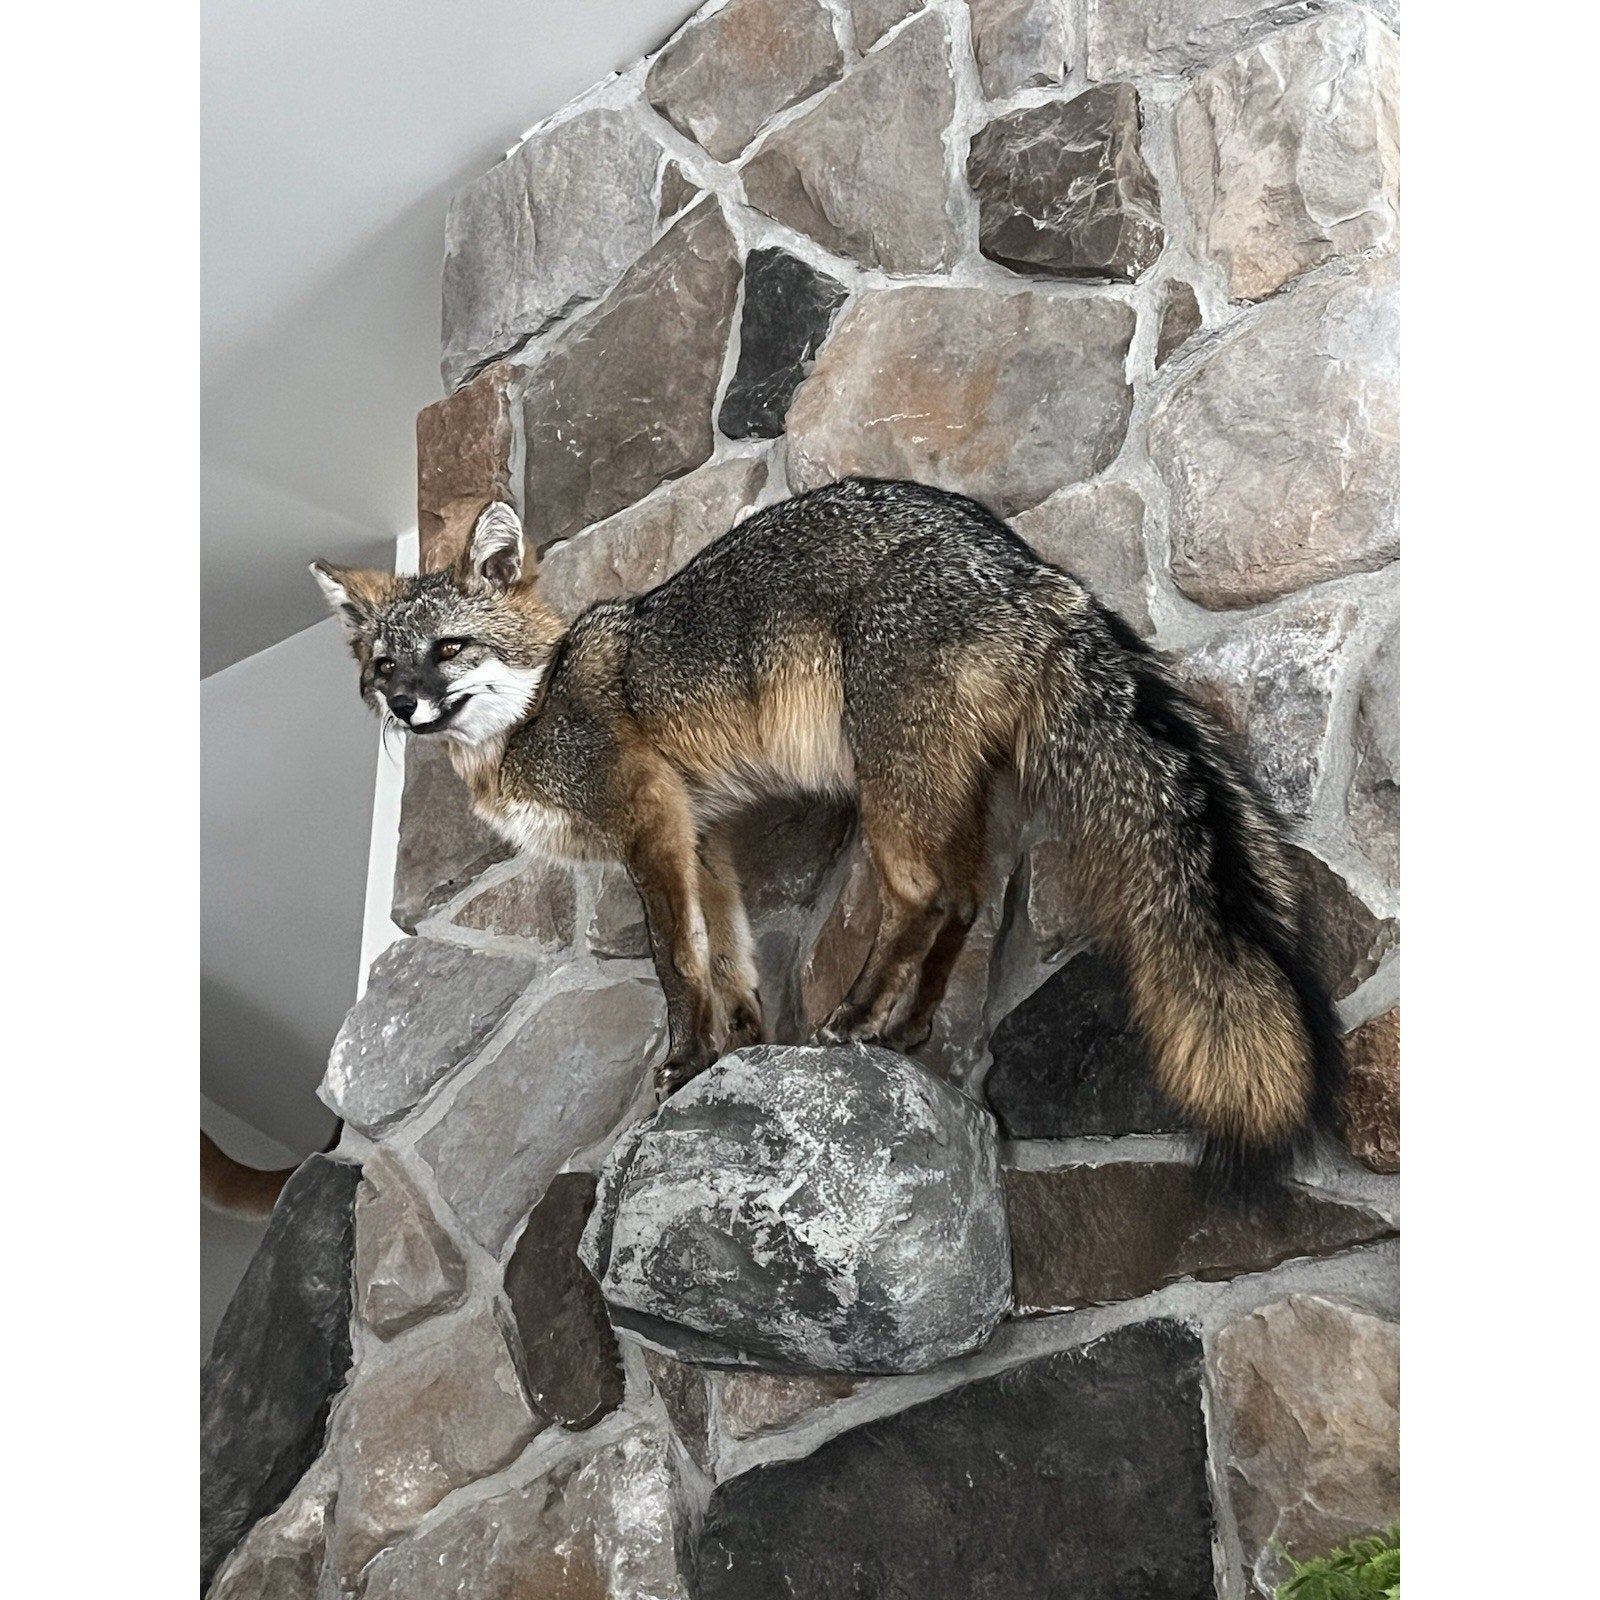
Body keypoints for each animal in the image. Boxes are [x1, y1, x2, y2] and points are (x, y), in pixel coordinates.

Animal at [313, 477, 1341, 1189]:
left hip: (889, 793)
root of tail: (1023, 564)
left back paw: (853, 1016)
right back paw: (907, 1024)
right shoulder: (704, 835)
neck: (536, 710)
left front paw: (686, 1061)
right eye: (384, 663)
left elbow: (675, 960)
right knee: (964, 897)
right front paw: (740, 1046)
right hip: (944, 794)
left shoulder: (651, 821)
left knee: (923, 896)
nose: (403, 707)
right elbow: (727, 955)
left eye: (451, 649)